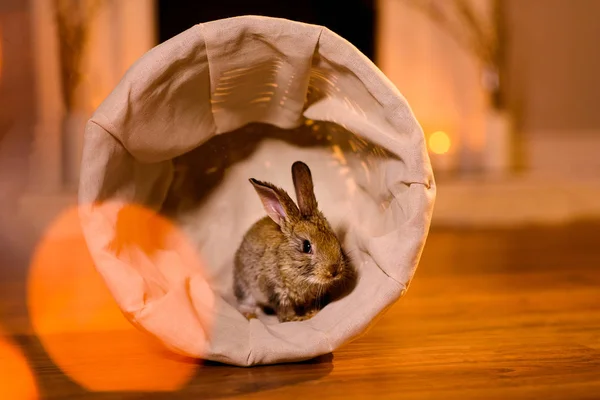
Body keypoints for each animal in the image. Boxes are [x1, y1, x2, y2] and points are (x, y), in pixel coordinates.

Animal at [233, 159, 356, 322]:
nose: (334, 271)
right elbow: (285, 314)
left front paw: (312, 311)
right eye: (306, 246)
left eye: (334, 236)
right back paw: (251, 314)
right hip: (244, 288)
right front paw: (301, 318)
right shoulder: (277, 292)